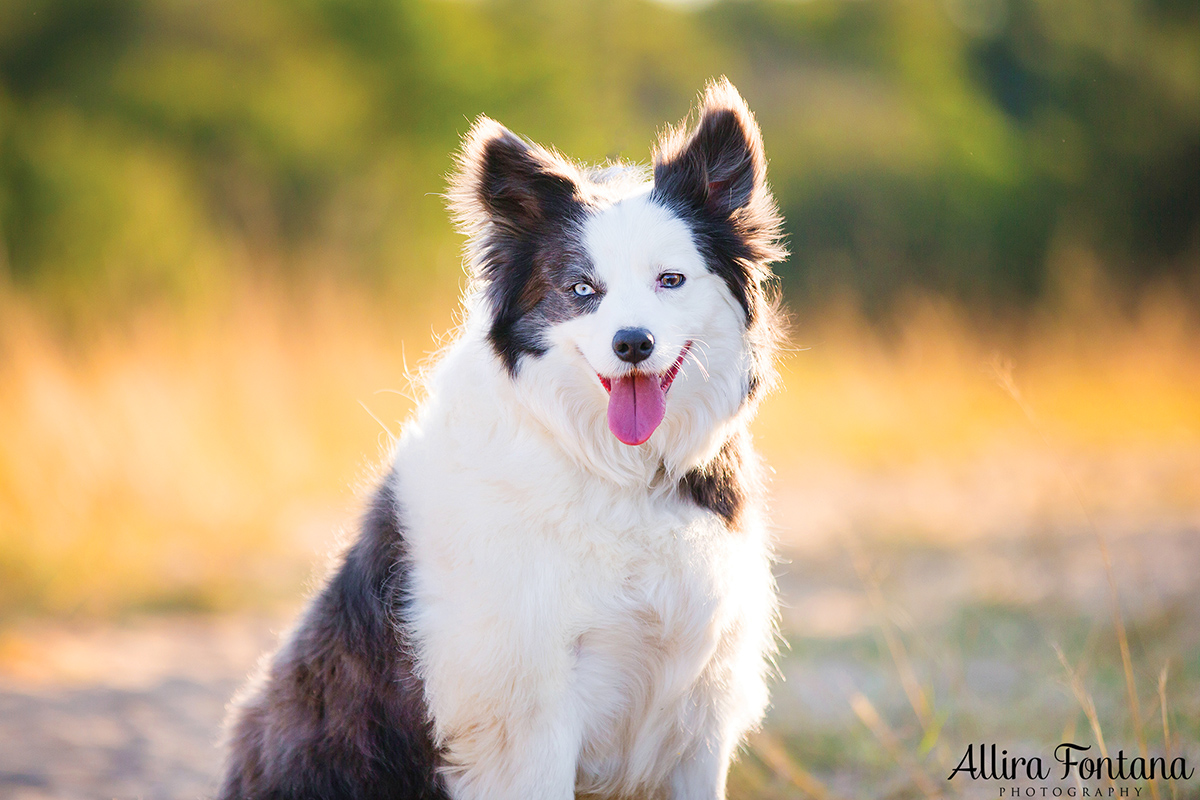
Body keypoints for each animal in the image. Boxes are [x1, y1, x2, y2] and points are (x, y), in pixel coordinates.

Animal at [218, 79, 787, 800]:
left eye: (671, 280)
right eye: (581, 289)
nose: (633, 344)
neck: (619, 474)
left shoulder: (700, 707)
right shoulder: (525, 715)